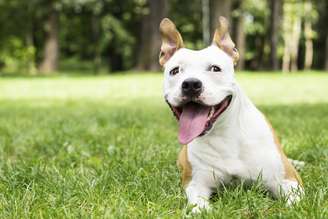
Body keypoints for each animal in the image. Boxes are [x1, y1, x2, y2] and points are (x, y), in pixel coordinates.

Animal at [158, 16, 304, 212]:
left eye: (215, 68)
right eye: (175, 71)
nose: (191, 84)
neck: (224, 134)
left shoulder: (288, 179)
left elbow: (295, 202)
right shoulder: (195, 183)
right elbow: (198, 203)